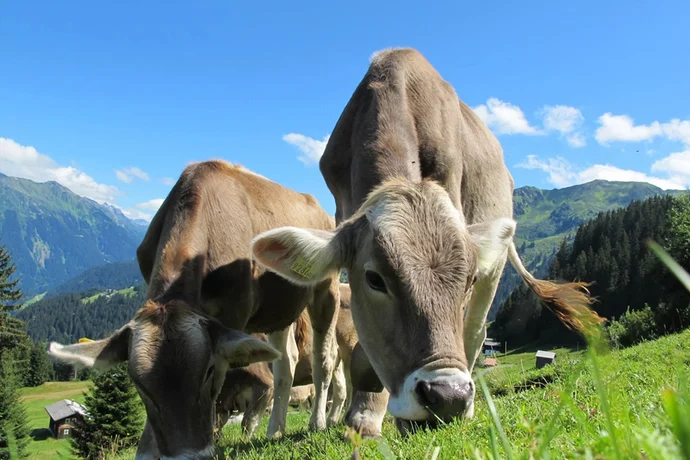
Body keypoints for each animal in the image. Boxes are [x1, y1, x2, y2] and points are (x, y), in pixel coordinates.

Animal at [48, 160, 342, 458]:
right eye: (138, 384)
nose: (187, 454)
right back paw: (275, 430)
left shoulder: (233, 314)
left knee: (324, 357)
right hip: (279, 309)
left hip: (326, 289)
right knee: (286, 362)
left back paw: (318, 422)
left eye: (208, 371)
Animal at [250, 48, 603, 437]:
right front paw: (364, 415)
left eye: (468, 280)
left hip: (494, 268)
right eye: (374, 279)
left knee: (475, 332)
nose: (448, 396)